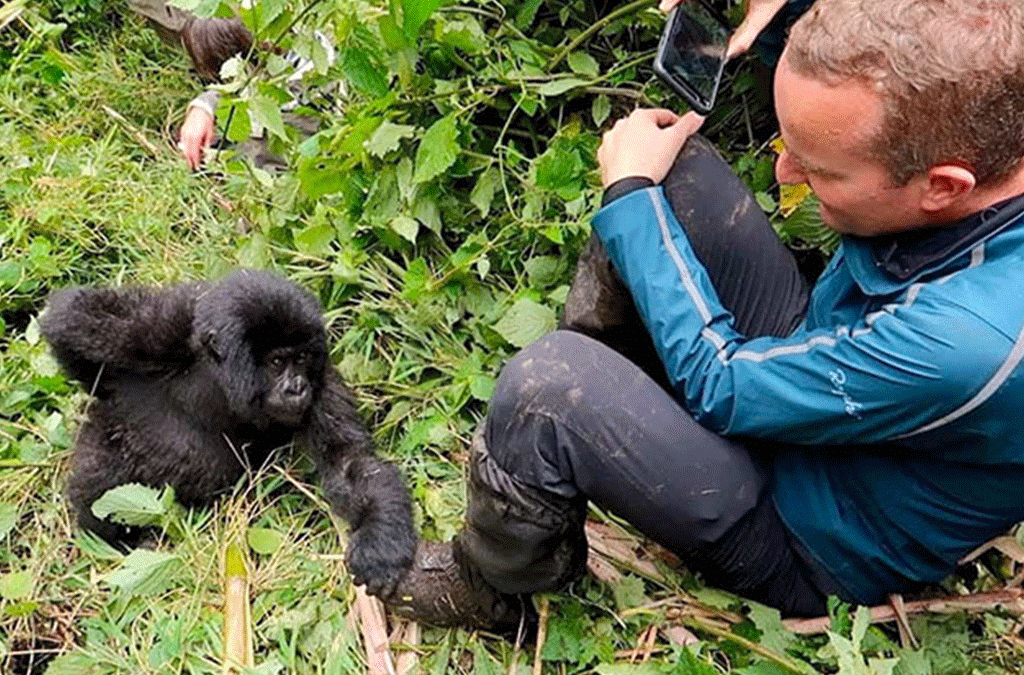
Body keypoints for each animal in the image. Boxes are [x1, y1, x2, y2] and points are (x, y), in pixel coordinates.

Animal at [39, 268, 415, 598]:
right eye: (277, 362)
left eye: (303, 358)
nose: (297, 388)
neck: (222, 378)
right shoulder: (166, 323)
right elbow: (71, 316)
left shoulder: (322, 383)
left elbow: (349, 461)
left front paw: (380, 538)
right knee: (101, 472)